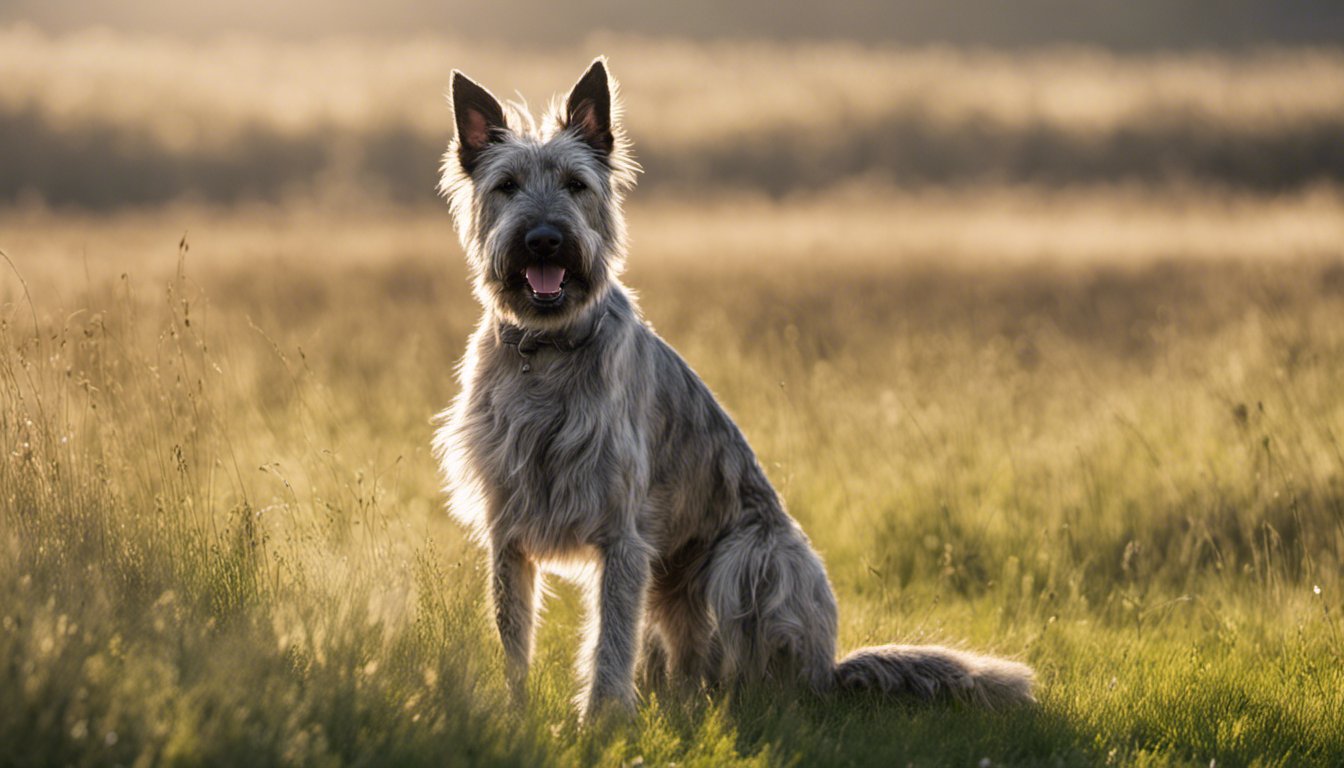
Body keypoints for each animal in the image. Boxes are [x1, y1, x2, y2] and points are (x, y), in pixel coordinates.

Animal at [435, 55, 1032, 720]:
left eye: (574, 183)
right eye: (507, 185)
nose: (544, 239)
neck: (547, 350)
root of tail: (830, 669)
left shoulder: (622, 536)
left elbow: (609, 640)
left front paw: (602, 722)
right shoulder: (508, 533)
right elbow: (513, 635)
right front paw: (515, 716)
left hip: (751, 555)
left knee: (747, 661)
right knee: (686, 659)